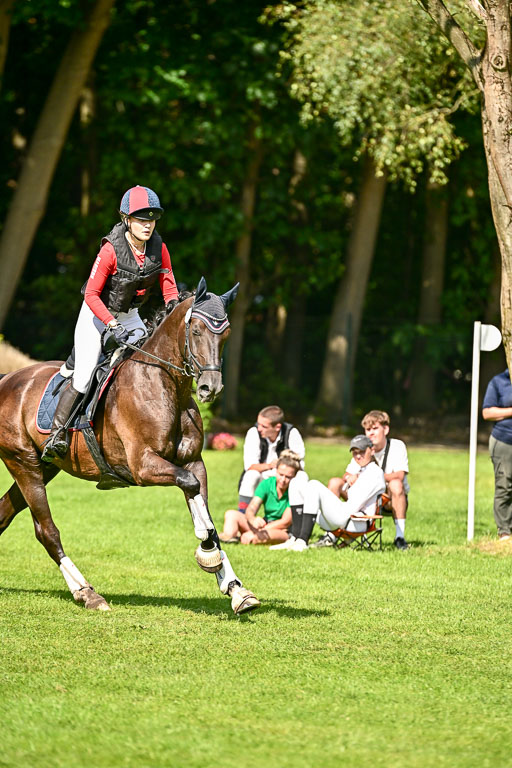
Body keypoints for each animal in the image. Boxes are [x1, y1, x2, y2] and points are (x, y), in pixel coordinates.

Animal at [0, 277, 260, 615]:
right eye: (196, 331)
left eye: (225, 333)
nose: (209, 388)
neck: (164, 385)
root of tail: (7, 379)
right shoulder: (143, 466)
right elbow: (192, 492)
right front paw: (206, 549)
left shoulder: (193, 462)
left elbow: (203, 506)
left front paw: (235, 588)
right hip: (24, 463)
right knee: (47, 531)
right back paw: (87, 592)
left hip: (44, 467)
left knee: (5, 513)